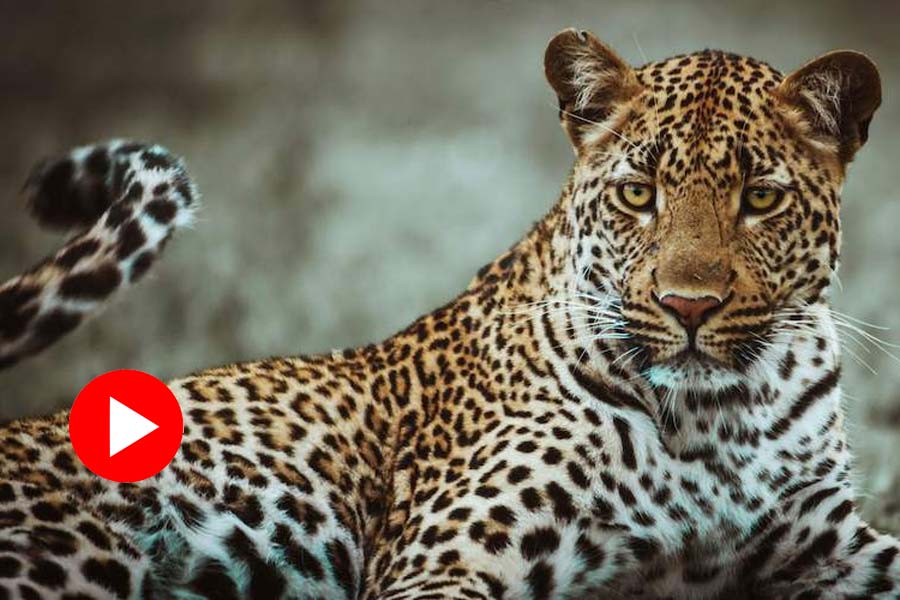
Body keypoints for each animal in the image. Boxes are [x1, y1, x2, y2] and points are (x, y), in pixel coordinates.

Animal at [0, 28, 897, 599]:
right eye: (640, 194)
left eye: (762, 198)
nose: (689, 307)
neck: (720, 414)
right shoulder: (448, 558)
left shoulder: (828, 546)